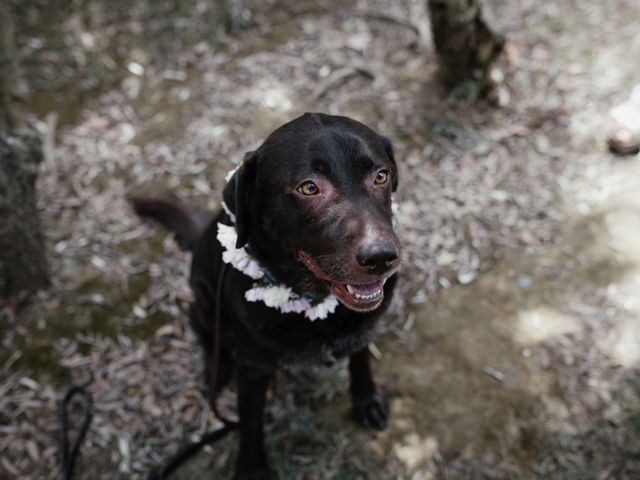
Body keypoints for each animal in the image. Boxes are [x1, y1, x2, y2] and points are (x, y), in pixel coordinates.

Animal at [132, 113, 400, 480]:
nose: (382, 257)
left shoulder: (362, 328)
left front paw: (366, 399)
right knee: (202, 328)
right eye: (309, 187)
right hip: (205, 300)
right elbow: (250, 423)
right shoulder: (253, 366)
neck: (313, 298)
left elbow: (360, 361)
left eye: (381, 176)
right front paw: (252, 469)